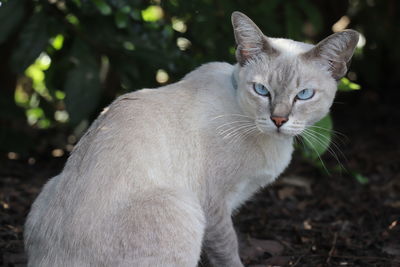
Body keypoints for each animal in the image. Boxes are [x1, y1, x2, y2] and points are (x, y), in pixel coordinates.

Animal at [24, 11, 360, 267]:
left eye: (303, 95)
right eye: (262, 90)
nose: (279, 120)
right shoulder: (214, 206)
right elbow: (228, 250)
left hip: (48, 186)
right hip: (184, 209)